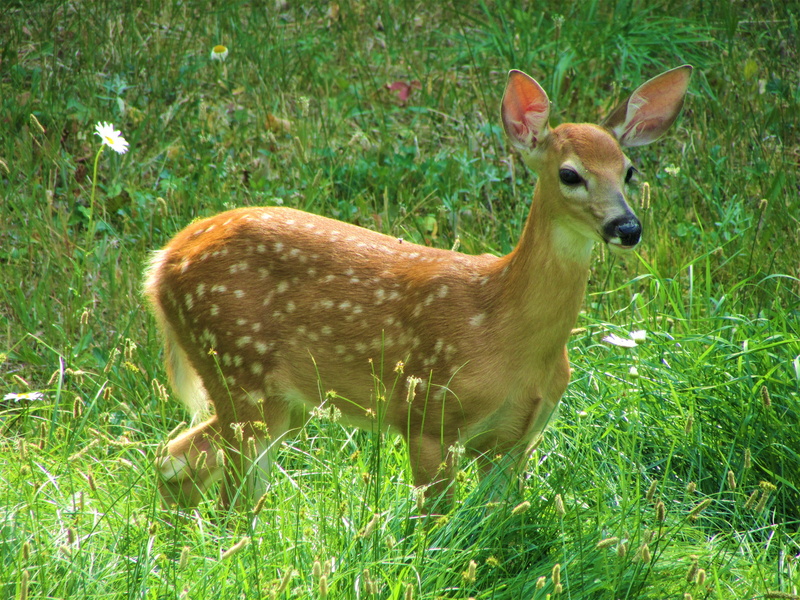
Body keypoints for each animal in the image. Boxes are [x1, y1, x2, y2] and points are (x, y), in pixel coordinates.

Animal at [145, 65, 692, 510]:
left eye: (629, 170)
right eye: (570, 174)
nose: (627, 227)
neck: (504, 325)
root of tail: (162, 262)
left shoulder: (515, 441)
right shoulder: (428, 414)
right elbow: (437, 522)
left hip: (281, 400)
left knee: (187, 462)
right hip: (238, 366)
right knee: (211, 482)